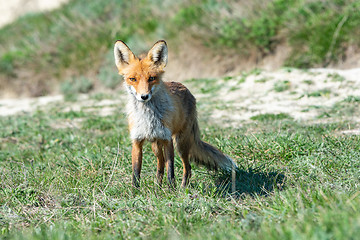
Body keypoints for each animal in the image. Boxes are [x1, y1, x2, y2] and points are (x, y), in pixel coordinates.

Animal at [114, 40, 238, 188]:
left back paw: (183, 187)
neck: (148, 117)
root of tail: (186, 89)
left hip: (180, 143)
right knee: (160, 165)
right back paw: (158, 187)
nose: (144, 96)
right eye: (132, 79)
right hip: (156, 145)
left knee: (187, 167)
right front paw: (135, 191)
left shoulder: (167, 140)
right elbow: (136, 172)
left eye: (152, 78)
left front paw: (171, 190)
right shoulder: (137, 141)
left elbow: (170, 171)